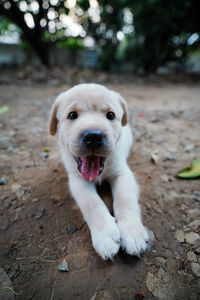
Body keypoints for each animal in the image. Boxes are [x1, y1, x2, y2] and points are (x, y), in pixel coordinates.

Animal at [48, 82, 148, 260]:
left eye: (110, 115)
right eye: (72, 115)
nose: (93, 136)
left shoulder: (122, 173)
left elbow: (125, 200)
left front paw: (132, 233)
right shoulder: (78, 180)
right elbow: (92, 204)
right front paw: (105, 235)